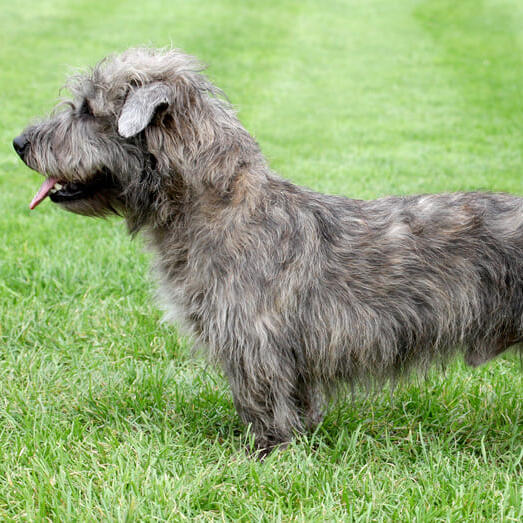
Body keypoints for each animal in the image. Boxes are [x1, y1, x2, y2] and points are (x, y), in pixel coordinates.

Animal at [13, 50, 523, 458]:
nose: (19, 143)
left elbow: (264, 403)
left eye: (86, 110)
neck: (218, 207)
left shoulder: (255, 342)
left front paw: (267, 457)